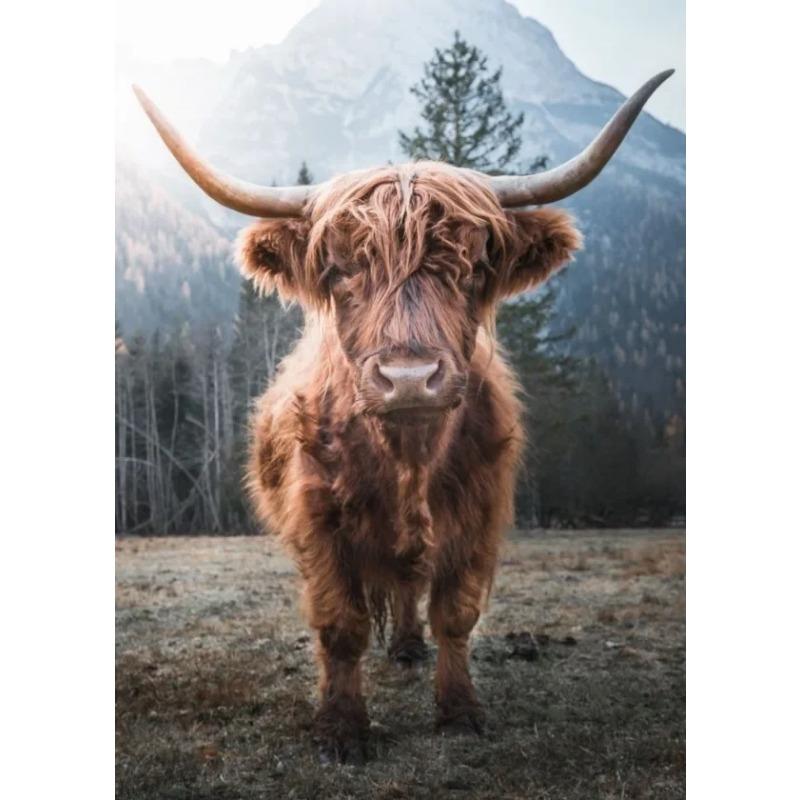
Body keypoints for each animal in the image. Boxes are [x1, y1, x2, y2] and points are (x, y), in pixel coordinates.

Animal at [134, 69, 672, 763]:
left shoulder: (478, 513)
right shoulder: (318, 520)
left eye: (473, 265)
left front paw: (460, 710)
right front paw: (341, 728)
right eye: (339, 268)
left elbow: (456, 614)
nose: (409, 378)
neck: (407, 457)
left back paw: (411, 647)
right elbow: (341, 625)